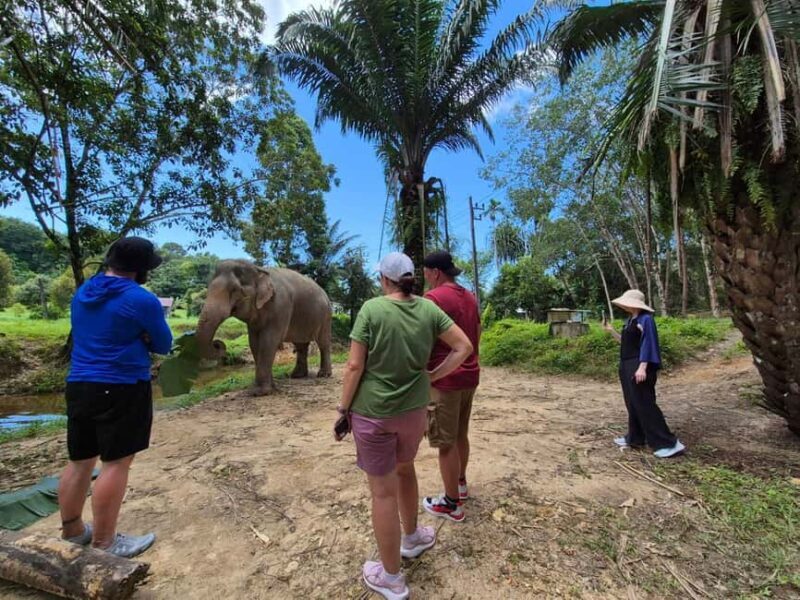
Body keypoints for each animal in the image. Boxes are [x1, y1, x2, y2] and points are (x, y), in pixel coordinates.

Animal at [196, 260, 333, 394]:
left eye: (235, 290)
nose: (218, 343)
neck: (258, 269)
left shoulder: (281, 306)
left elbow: (269, 341)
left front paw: (260, 392)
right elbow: (254, 342)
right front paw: (268, 387)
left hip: (326, 316)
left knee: (323, 343)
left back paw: (324, 374)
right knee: (300, 345)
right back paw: (297, 375)